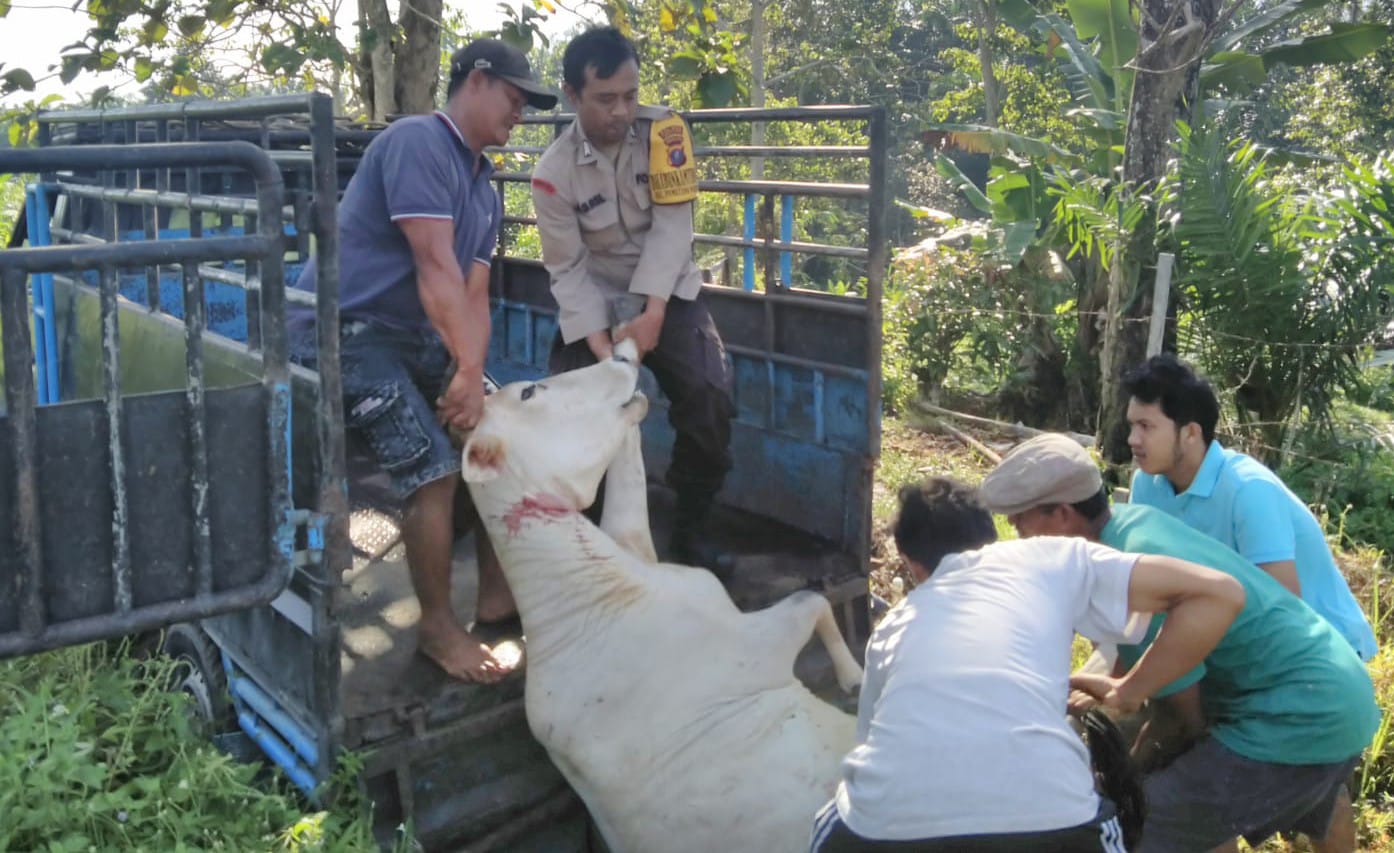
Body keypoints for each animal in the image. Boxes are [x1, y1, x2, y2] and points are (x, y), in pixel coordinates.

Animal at [462, 342, 864, 853]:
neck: (589, 595)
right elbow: (814, 602)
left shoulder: (632, 541)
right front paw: (854, 676)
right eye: (529, 392)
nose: (620, 356)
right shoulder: (758, 648)